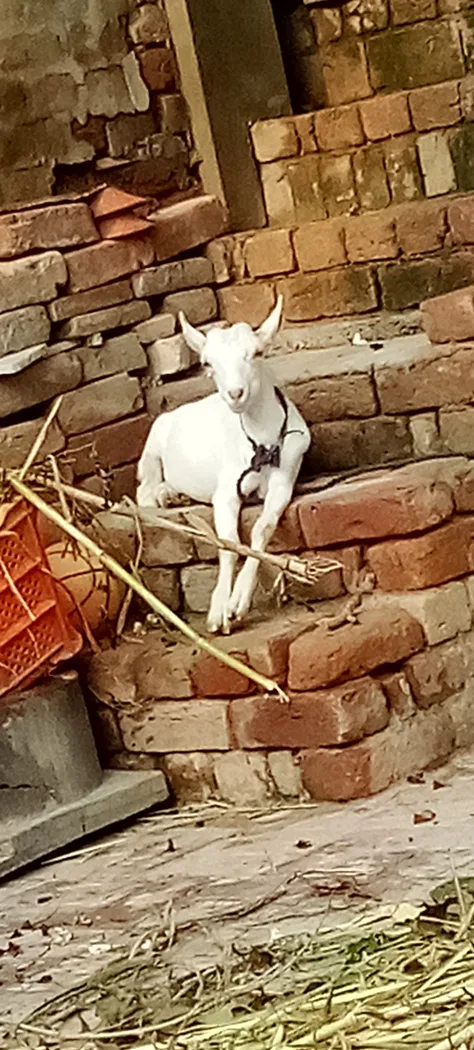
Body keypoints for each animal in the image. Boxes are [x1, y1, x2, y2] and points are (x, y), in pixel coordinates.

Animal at [136, 296, 311, 634]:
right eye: (208, 363)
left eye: (256, 353)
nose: (235, 394)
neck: (262, 443)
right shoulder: (227, 489)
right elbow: (229, 540)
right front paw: (220, 610)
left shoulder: (285, 477)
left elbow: (262, 527)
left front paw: (239, 601)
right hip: (152, 444)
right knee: (143, 489)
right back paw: (159, 500)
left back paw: (173, 495)